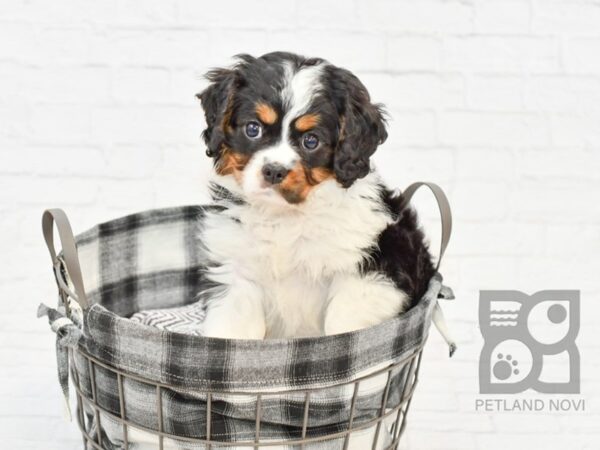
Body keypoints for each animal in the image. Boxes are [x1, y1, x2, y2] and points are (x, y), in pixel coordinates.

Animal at [197, 52, 436, 340]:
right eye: (253, 129)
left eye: (311, 141)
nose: (274, 171)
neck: (286, 217)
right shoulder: (236, 274)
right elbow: (233, 331)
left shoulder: (372, 271)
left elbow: (343, 323)